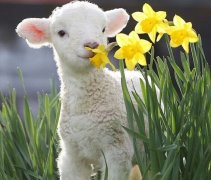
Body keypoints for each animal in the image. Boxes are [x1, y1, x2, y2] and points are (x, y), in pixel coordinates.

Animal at [16, 0, 145, 179]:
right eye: (61, 32)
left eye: (103, 29)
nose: (92, 45)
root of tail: (131, 72)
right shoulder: (72, 154)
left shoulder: (117, 149)